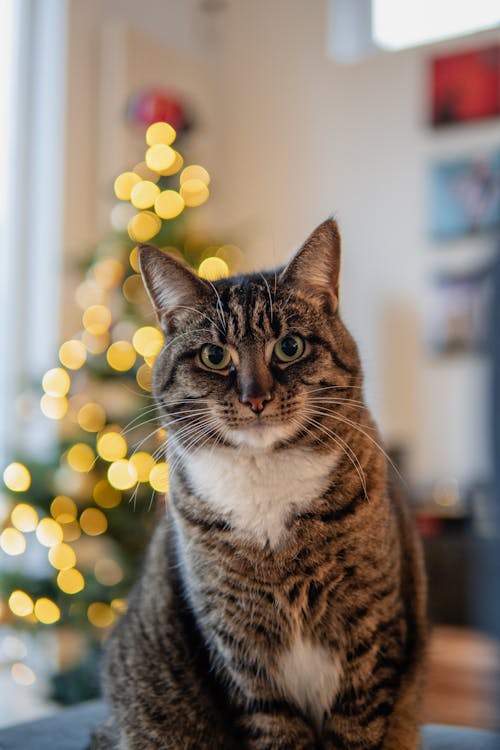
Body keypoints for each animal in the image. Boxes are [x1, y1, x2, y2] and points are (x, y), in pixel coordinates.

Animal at [93, 220, 426, 748]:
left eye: (289, 347)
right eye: (214, 356)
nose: (255, 398)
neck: (264, 475)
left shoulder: (370, 634)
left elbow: (357, 728)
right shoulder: (241, 652)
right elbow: (274, 726)